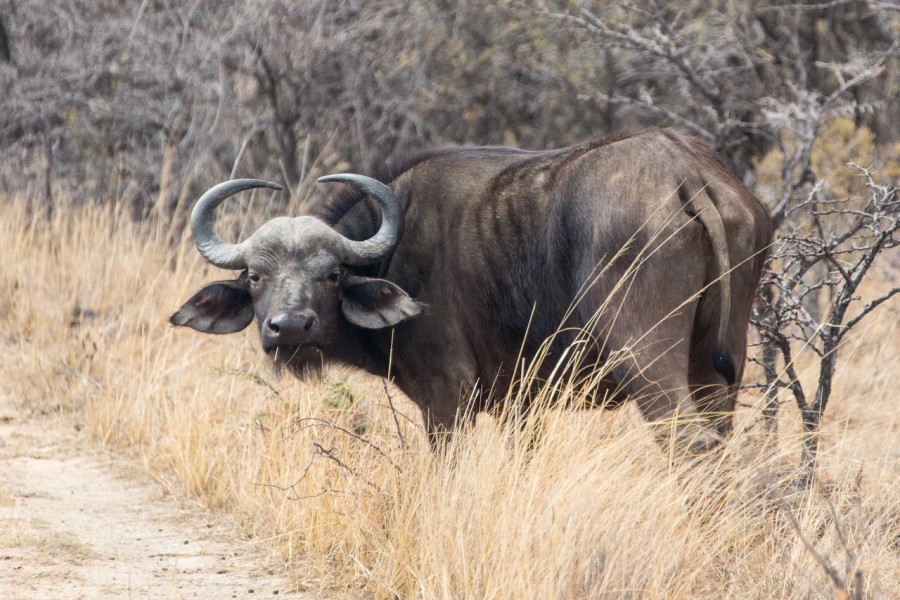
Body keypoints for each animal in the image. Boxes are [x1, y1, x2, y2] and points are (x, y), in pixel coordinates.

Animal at [172, 130, 768, 450]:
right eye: (255, 276)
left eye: (332, 273)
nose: (290, 327)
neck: (400, 241)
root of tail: (684, 169)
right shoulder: (521, 406)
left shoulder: (446, 399)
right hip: (718, 369)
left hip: (644, 359)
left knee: (687, 440)